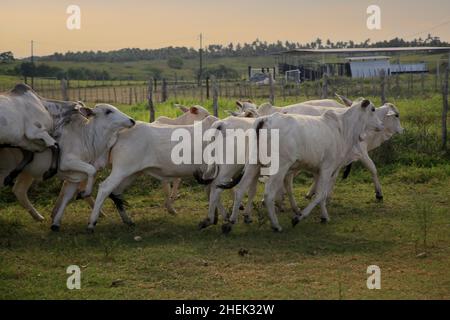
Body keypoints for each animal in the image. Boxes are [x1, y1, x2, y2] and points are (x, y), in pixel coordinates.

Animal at [223, 99, 382, 232]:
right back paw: (276, 225)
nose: (381, 124)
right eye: (373, 109)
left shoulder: (320, 171)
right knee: (268, 194)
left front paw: (324, 216)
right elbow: (319, 195)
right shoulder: (327, 168)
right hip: (280, 167)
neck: (342, 128)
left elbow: (321, 195)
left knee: (240, 189)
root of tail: (265, 119)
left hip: (253, 163)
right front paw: (299, 217)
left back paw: (231, 222)